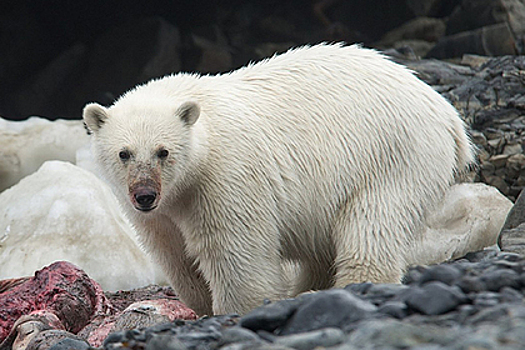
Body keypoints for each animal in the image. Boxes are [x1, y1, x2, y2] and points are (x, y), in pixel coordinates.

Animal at [83, 42, 474, 316]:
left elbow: (236, 251)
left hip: (394, 156)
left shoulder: (225, 178)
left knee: (373, 221)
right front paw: (200, 304)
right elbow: (176, 256)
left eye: (163, 151)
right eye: (124, 153)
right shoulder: (161, 214)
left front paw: (239, 308)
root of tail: (447, 113)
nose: (145, 195)